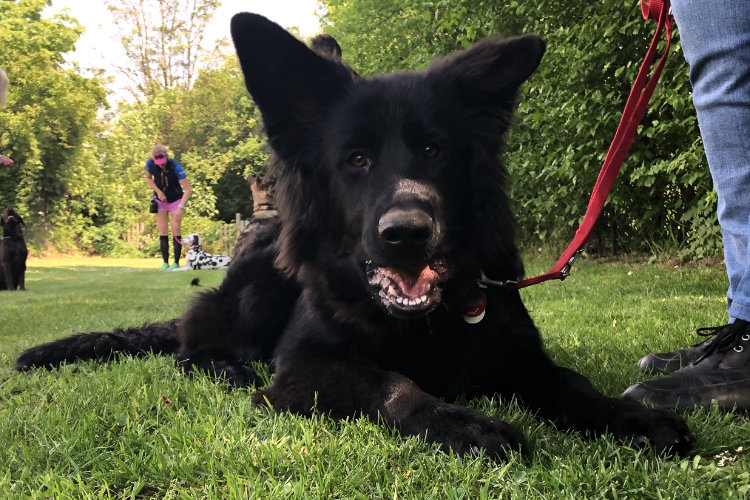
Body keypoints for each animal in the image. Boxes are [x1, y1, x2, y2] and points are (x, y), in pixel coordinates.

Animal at [13, 14, 692, 460]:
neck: (420, 324)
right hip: (259, 285)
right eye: (356, 159)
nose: (407, 234)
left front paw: (629, 415)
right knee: (191, 342)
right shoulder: (303, 369)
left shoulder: (520, 355)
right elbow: (388, 382)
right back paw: (224, 366)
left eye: (433, 149)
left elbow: (570, 382)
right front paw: (465, 424)